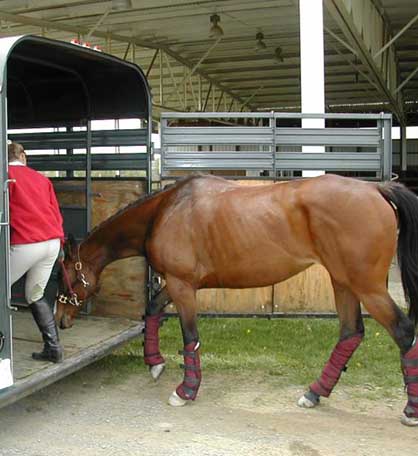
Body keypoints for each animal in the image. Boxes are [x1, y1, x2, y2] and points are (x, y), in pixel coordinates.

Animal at [56, 175, 418, 428]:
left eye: (64, 275)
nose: (60, 319)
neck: (166, 210)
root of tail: (376, 189)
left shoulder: (182, 285)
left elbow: (190, 337)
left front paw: (186, 391)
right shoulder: (177, 284)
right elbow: (152, 310)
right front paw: (155, 363)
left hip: (366, 287)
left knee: (403, 332)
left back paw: (410, 409)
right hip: (342, 282)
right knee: (351, 333)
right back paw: (314, 393)